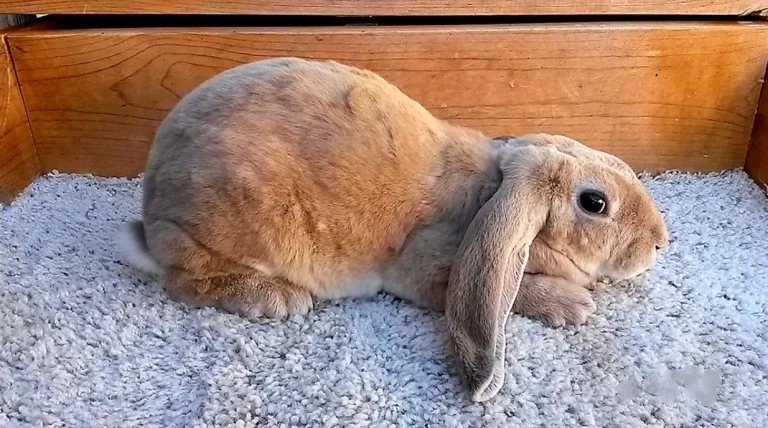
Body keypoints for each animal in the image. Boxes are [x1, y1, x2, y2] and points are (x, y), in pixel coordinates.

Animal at [118, 57, 669, 402]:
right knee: (186, 281)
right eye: (595, 203)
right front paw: (572, 305)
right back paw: (276, 298)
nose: (661, 242)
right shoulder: (429, 265)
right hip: (235, 225)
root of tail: (152, 214)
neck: (491, 192)